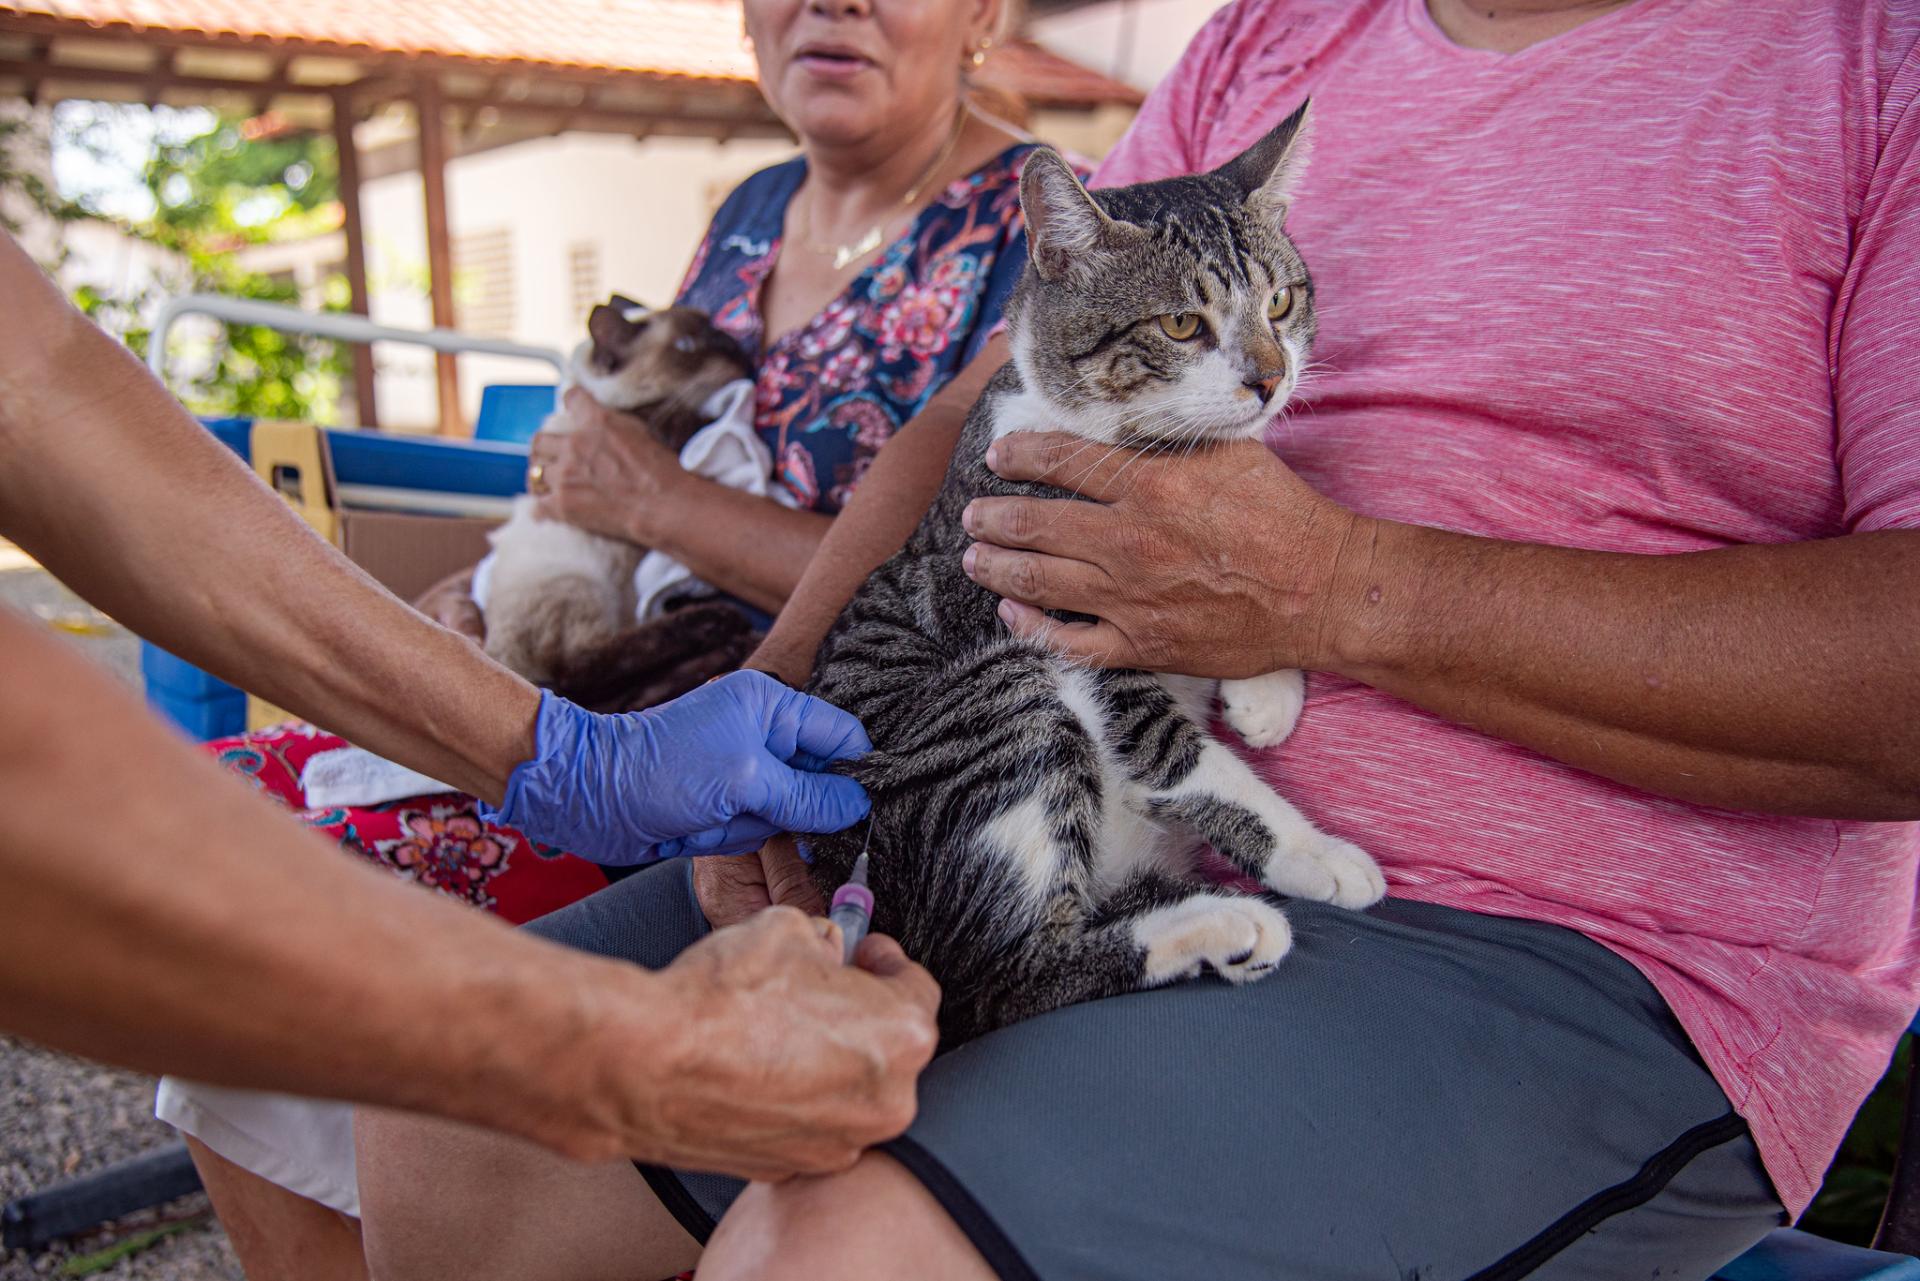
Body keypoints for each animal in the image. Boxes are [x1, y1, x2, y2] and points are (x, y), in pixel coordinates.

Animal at [806, 105, 1382, 1044]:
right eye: (1181, 326)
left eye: (1281, 302)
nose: (1270, 378)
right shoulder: (1061, 619)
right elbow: (1183, 757)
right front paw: (1316, 853)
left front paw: (1264, 689)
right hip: (999, 702)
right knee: (1005, 977)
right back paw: (1224, 922)